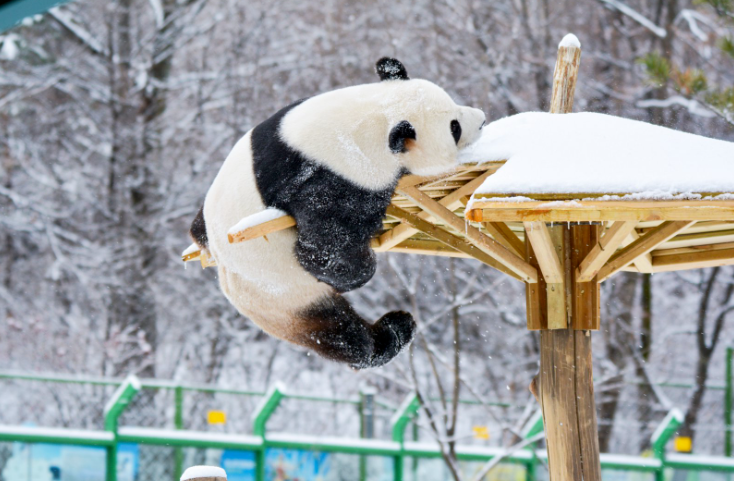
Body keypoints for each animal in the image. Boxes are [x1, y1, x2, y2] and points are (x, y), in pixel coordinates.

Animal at [190, 58, 486, 369]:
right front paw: (360, 270)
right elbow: (324, 248)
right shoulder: (334, 180)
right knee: (339, 333)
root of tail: (228, 286)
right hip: (281, 293)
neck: (370, 115)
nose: (480, 119)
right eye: (454, 128)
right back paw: (394, 329)